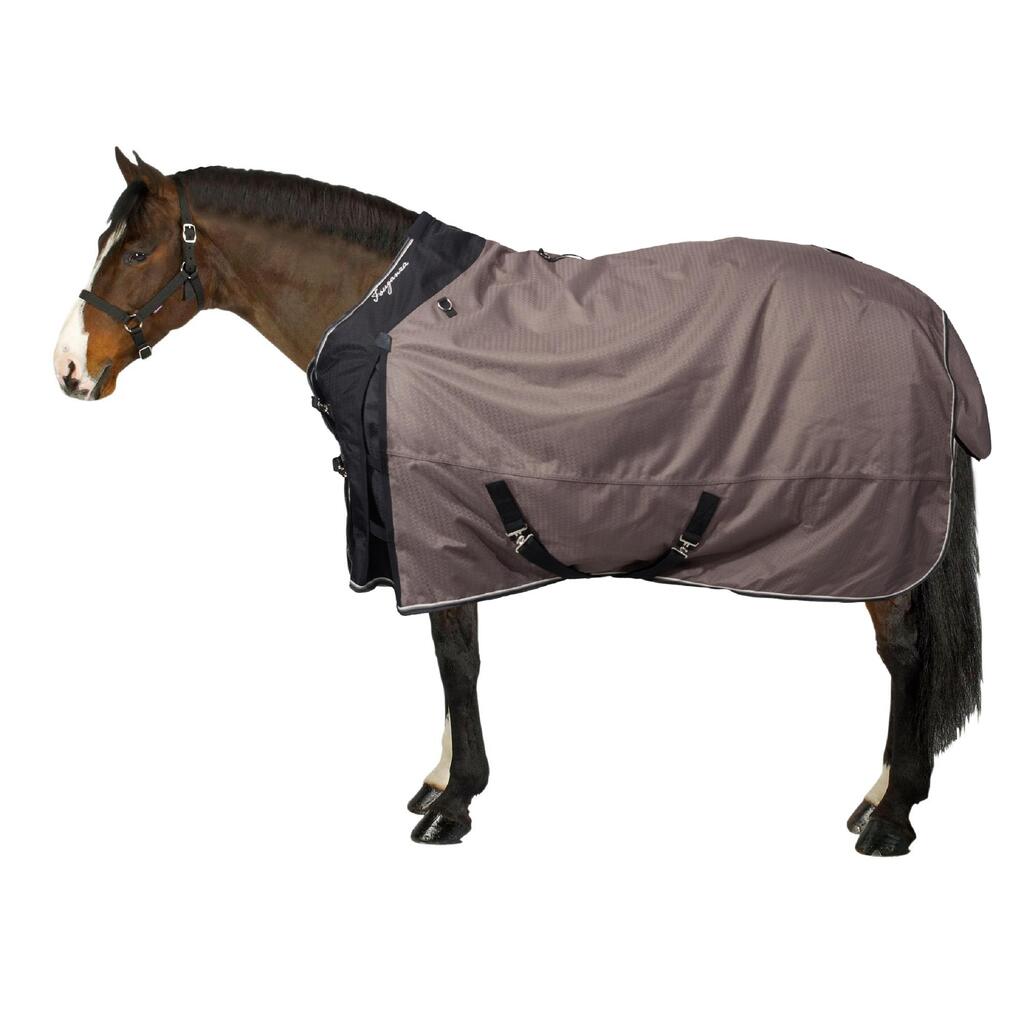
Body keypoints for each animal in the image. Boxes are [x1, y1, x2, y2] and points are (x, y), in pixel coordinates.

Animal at [54, 149, 987, 854]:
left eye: (135, 254)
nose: (68, 367)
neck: (386, 321)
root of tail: (930, 320)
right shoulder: (437, 531)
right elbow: (449, 657)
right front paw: (438, 781)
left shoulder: (441, 521)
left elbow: (455, 658)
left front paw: (455, 802)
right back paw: (882, 798)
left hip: (880, 535)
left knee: (905, 655)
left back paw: (892, 817)